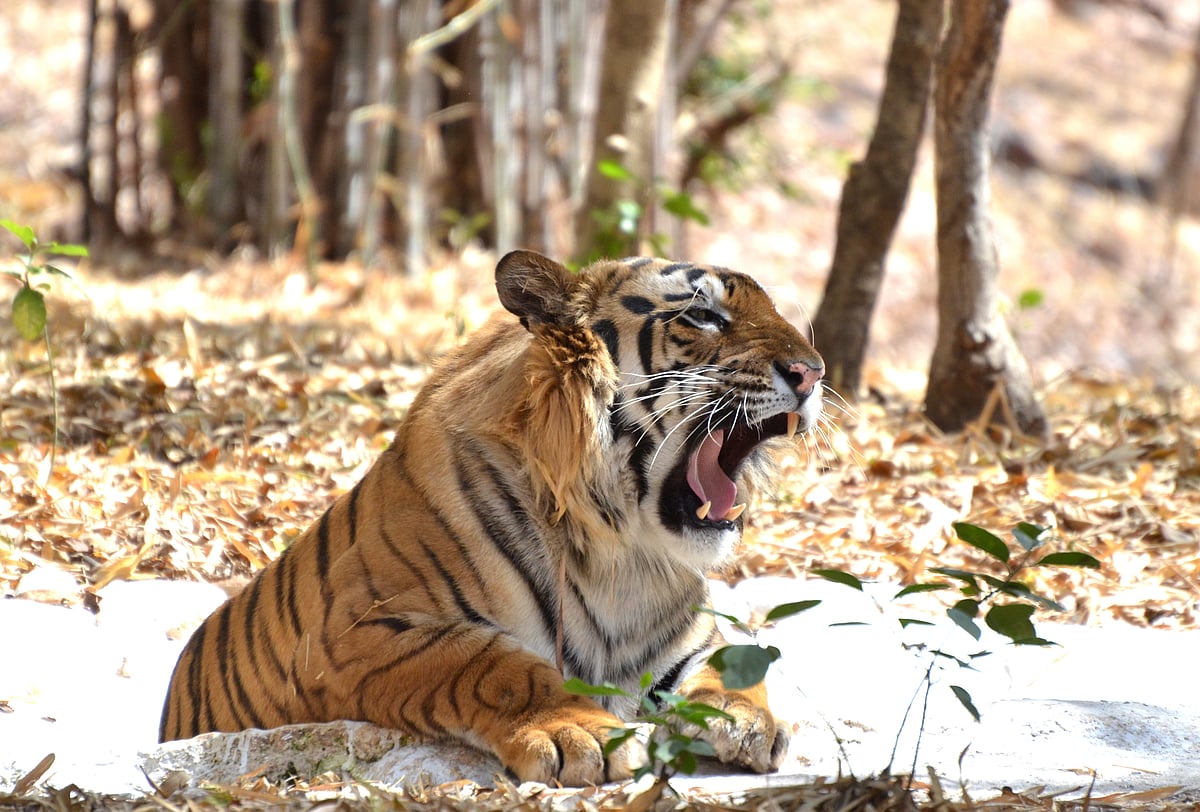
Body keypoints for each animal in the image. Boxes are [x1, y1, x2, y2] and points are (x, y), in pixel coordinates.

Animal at [159, 249, 825, 786]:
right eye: (704, 315)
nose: (813, 371)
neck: (621, 550)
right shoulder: (352, 630)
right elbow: (492, 663)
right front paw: (577, 731)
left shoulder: (686, 638)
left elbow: (731, 661)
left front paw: (745, 719)